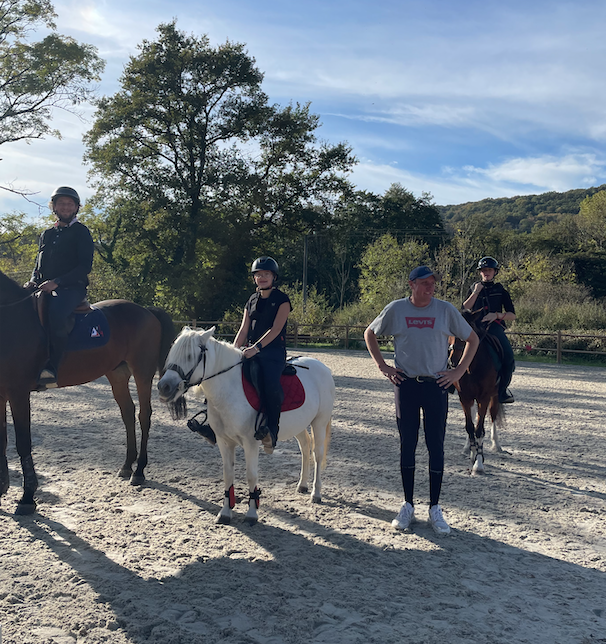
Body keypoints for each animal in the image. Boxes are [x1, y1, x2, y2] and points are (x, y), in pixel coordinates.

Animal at [0, 270, 176, 516]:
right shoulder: (1, 392)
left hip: (142, 372)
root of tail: (146, 310)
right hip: (117, 374)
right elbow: (2, 439)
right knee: (128, 413)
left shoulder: (18, 392)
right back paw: (126, 465)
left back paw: (139, 471)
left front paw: (27, 498)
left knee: (144, 416)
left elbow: (23, 442)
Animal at [158, 328, 338, 524]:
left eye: (190, 356)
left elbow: (251, 475)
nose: (163, 386)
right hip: (299, 424)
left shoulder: (250, 442)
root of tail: (322, 367)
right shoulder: (224, 441)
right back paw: (302, 485)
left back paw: (316, 493)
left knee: (317, 454)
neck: (229, 389)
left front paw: (252, 514)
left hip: (319, 422)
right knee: (305, 447)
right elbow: (228, 474)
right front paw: (225, 512)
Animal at [448, 310, 506, 476]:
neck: (472, 367)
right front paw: (474, 454)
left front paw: (478, 465)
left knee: (492, 416)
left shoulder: (484, 398)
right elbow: (470, 427)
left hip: (494, 397)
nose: (452, 362)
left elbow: (479, 430)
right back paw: (469, 448)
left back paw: (496, 445)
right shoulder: (464, 398)